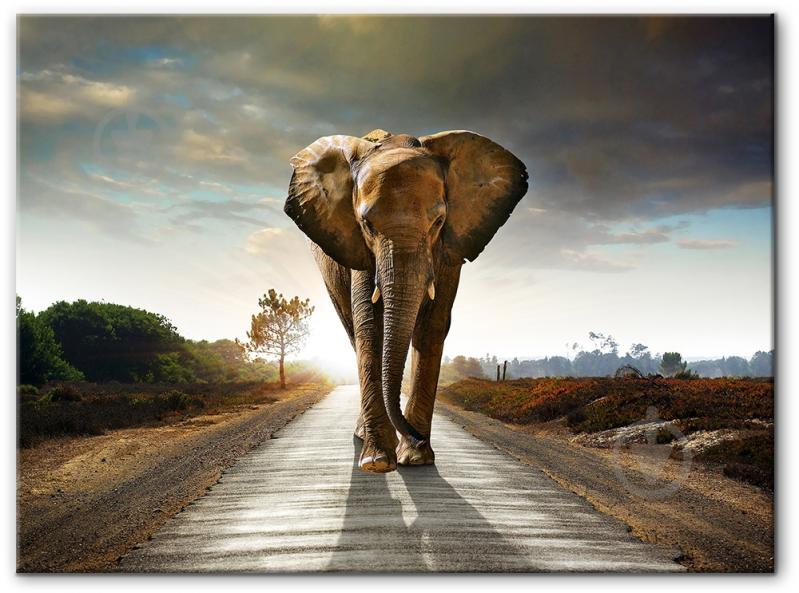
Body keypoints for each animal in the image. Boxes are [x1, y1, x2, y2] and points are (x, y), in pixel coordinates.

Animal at [283, 129, 528, 473]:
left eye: (438, 221)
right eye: (366, 224)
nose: (416, 437)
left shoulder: (450, 249)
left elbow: (432, 326)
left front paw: (415, 458)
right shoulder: (359, 249)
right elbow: (370, 326)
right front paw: (378, 462)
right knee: (353, 331)